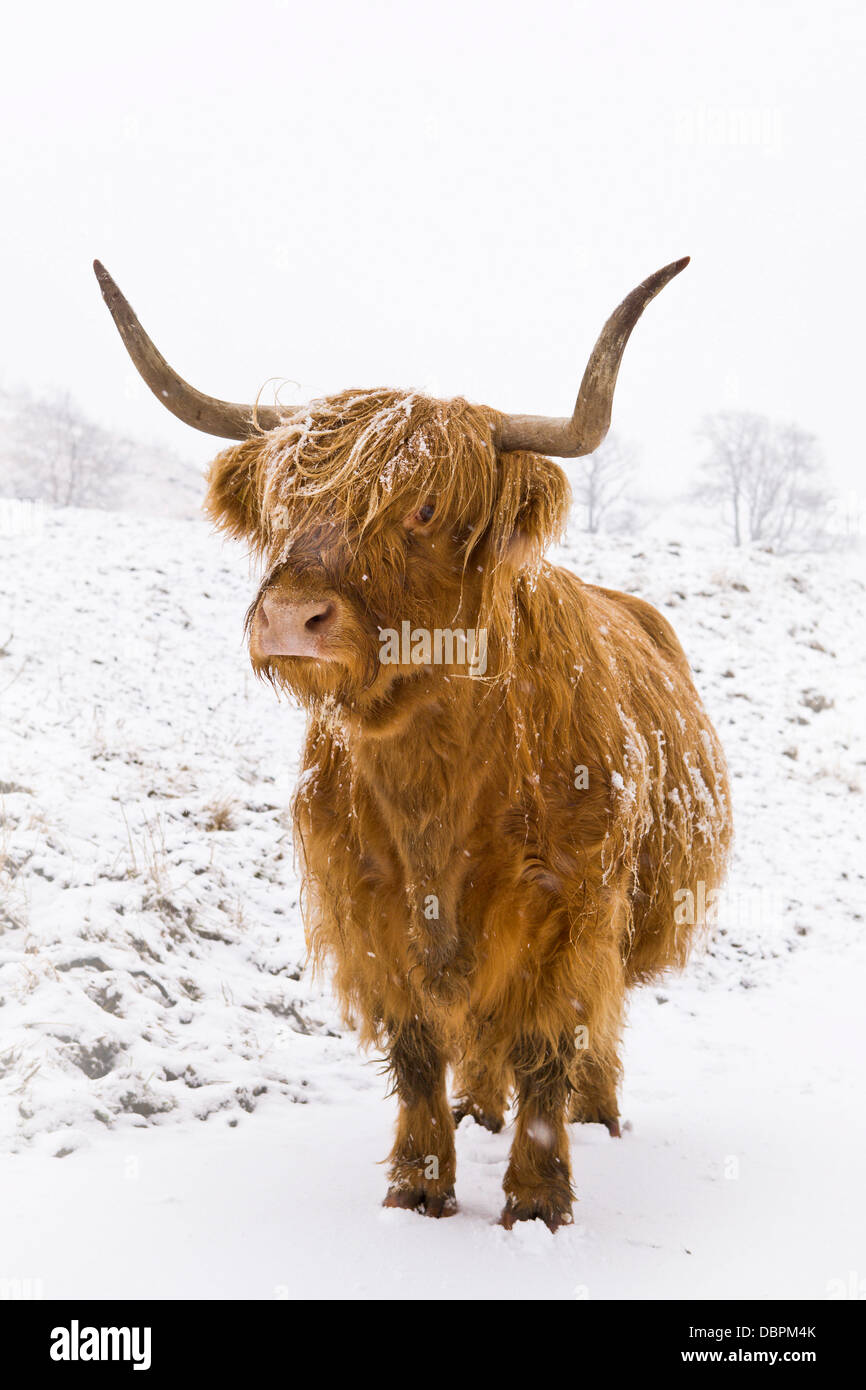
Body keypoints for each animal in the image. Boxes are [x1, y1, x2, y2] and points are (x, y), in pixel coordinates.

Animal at [94, 261, 733, 1228]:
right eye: (284, 503)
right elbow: (418, 1047)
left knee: (596, 1026)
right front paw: (420, 1183)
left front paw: (537, 1199)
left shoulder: (572, 909)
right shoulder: (368, 908)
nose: (292, 616)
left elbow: (549, 1041)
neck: (435, 782)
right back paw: (479, 1108)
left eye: (424, 506)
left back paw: (598, 1112)